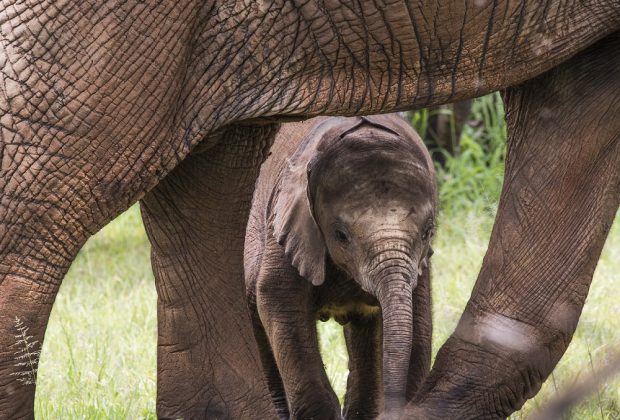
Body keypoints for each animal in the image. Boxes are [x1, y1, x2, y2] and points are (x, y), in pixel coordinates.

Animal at [243, 115, 436, 420]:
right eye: (341, 235)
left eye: (429, 231)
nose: (393, 411)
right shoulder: (285, 225)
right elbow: (278, 300)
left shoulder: (420, 265)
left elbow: (418, 319)